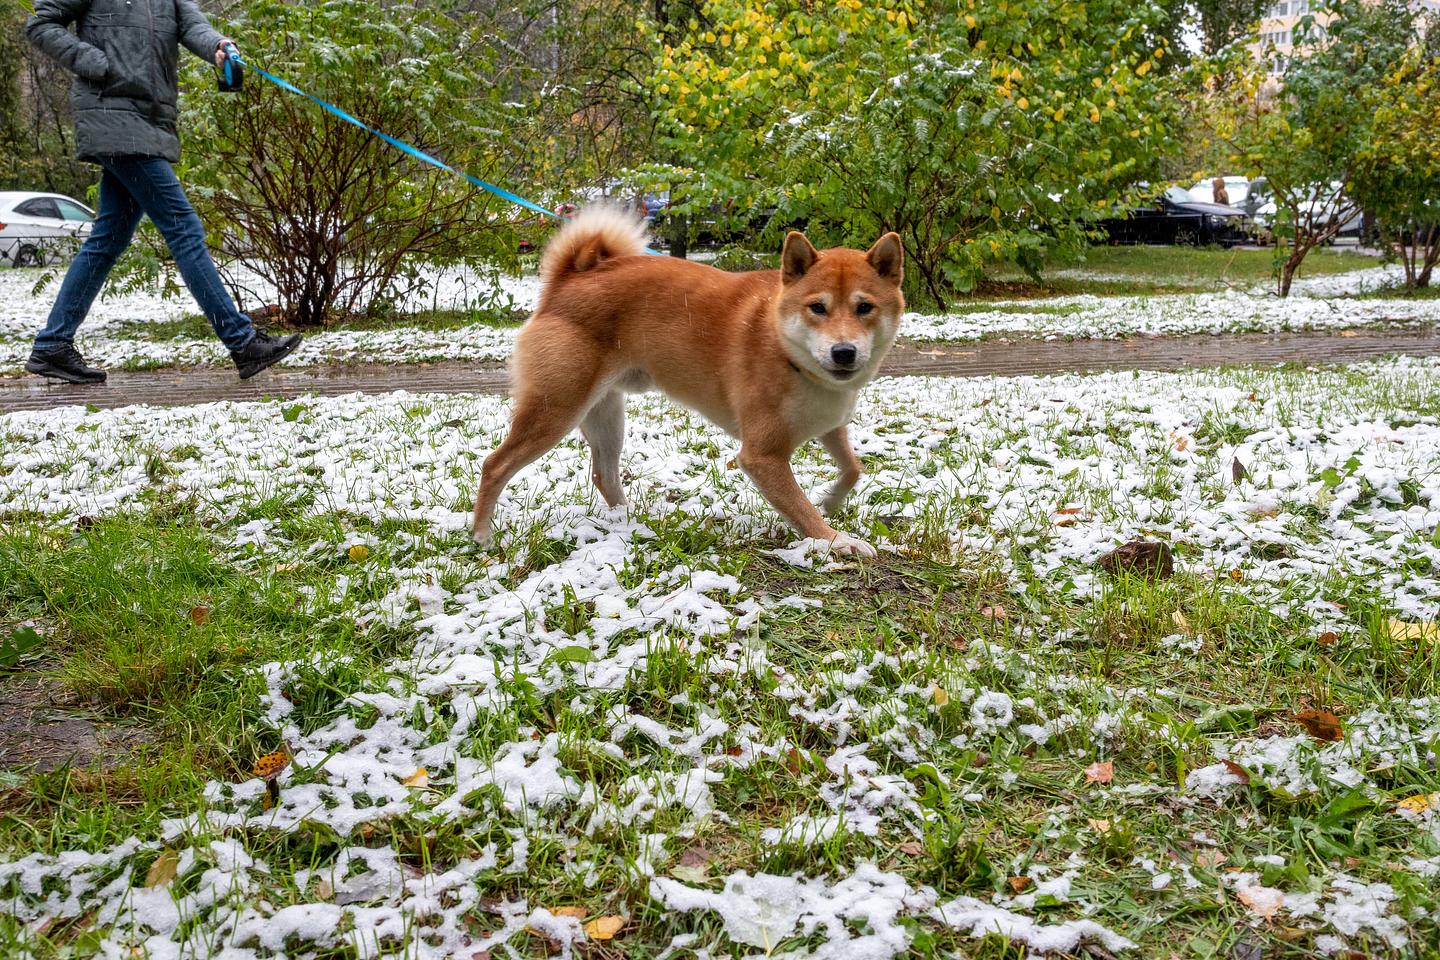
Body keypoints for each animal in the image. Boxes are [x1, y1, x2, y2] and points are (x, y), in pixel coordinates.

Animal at [472, 207, 898, 558]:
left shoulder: (830, 424)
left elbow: (853, 468)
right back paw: (481, 537)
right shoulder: (762, 456)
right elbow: (801, 509)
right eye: (817, 308)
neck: (786, 350)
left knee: (604, 475)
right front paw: (836, 540)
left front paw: (831, 501)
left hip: (606, 416)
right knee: (495, 465)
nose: (844, 352)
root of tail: (568, 281)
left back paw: (627, 522)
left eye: (864, 307)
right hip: (555, 411)